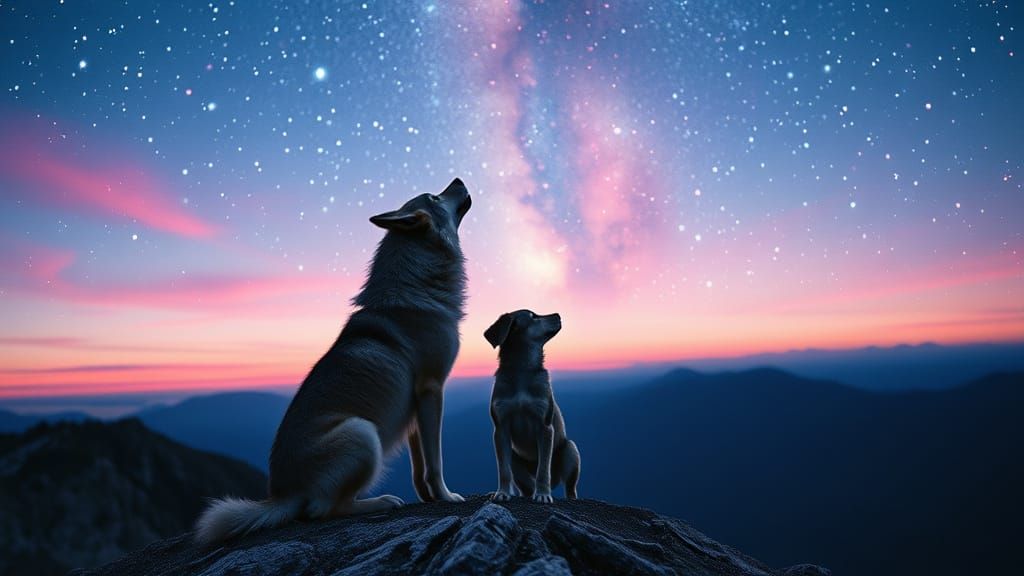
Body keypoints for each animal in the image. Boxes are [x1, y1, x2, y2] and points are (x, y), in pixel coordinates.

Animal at [195, 178, 472, 544]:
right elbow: (435, 461)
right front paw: (446, 497)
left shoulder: (414, 405)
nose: (459, 180)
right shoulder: (431, 390)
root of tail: (282, 494)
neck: (416, 286)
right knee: (322, 510)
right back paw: (380, 502)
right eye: (435, 198)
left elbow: (419, 466)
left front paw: (427, 497)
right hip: (362, 433)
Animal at [484, 309, 580, 503]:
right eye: (532, 316)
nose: (558, 314)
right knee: (525, 488)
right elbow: (503, 470)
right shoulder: (501, 428)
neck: (522, 369)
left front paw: (543, 495)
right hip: (515, 459)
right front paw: (502, 492)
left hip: (571, 450)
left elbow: (543, 468)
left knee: (570, 488)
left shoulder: (545, 426)